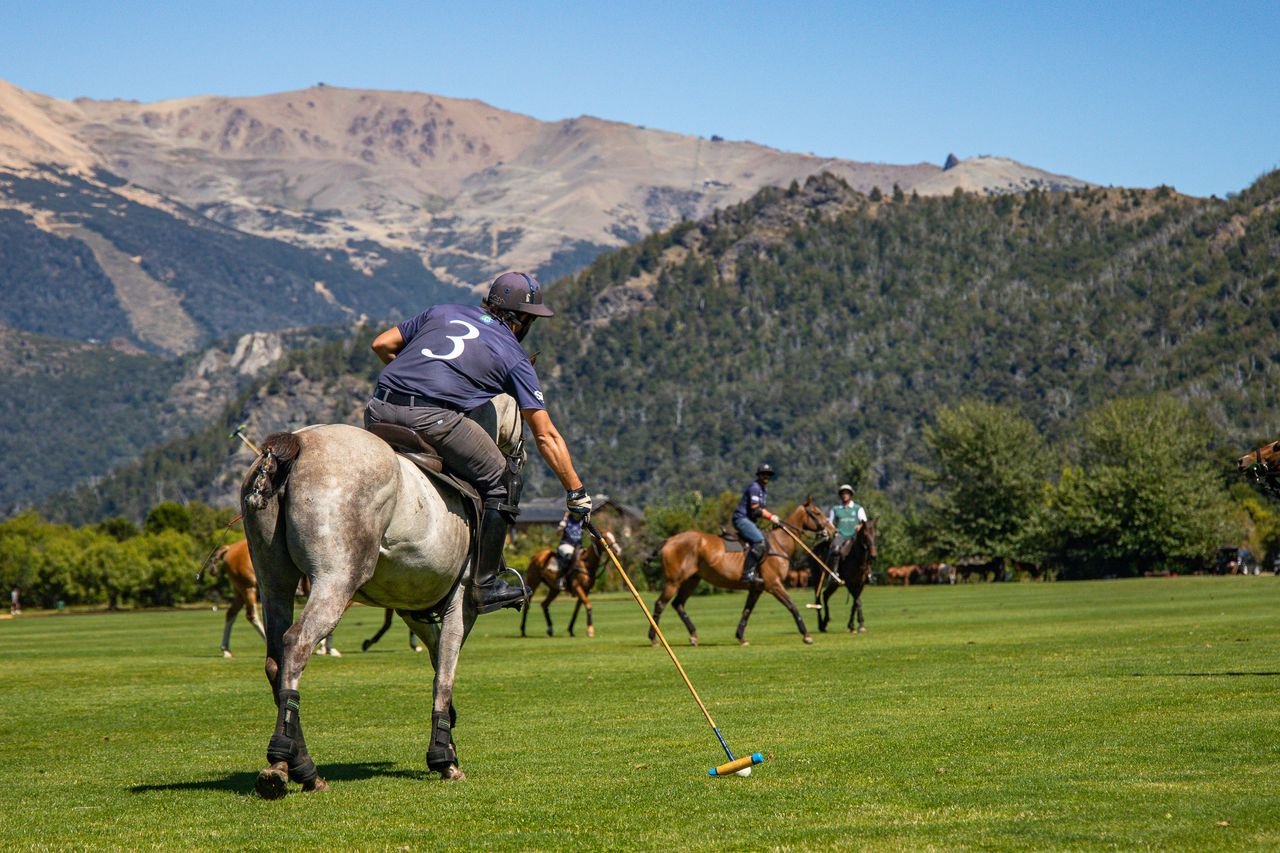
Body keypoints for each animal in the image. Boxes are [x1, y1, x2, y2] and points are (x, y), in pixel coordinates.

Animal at [240, 395, 524, 796]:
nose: (520, 455)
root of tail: (296, 444)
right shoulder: (463, 601)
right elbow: (445, 671)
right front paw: (444, 757)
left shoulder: (411, 604)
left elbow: (436, 657)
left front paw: (449, 732)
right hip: (336, 577)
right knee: (297, 643)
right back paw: (286, 762)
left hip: (273, 579)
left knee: (275, 658)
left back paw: (297, 766)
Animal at [653, 498, 835, 646]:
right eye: (817, 512)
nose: (833, 531)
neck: (779, 543)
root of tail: (669, 540)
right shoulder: (773, 584)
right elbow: (792, 606)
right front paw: (807, 636)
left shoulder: (756, 588)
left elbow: (747, 611)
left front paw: (741, 637)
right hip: (674, 580)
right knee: (660, 603)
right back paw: (654, 639)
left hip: (692, 580)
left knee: (678, 604)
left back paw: (693, 636)